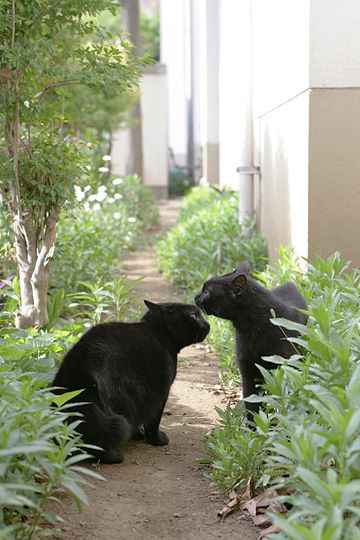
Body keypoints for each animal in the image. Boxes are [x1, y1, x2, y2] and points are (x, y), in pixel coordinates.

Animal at [51, 300, 210, 464]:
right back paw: (115, 456)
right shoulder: (161, 393)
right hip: (128, 399)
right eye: (193, 315)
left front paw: (139, 435)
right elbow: (153, 422)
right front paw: (157, 440)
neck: (159, 332)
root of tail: (84, 366)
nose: (208, 324)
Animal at [194, 264, 306, 416]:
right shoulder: (248, 371)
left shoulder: (290, 365)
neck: (252, 328)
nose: (195, 297)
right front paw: (255, 422)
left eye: (206, 292)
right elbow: (252, 403)